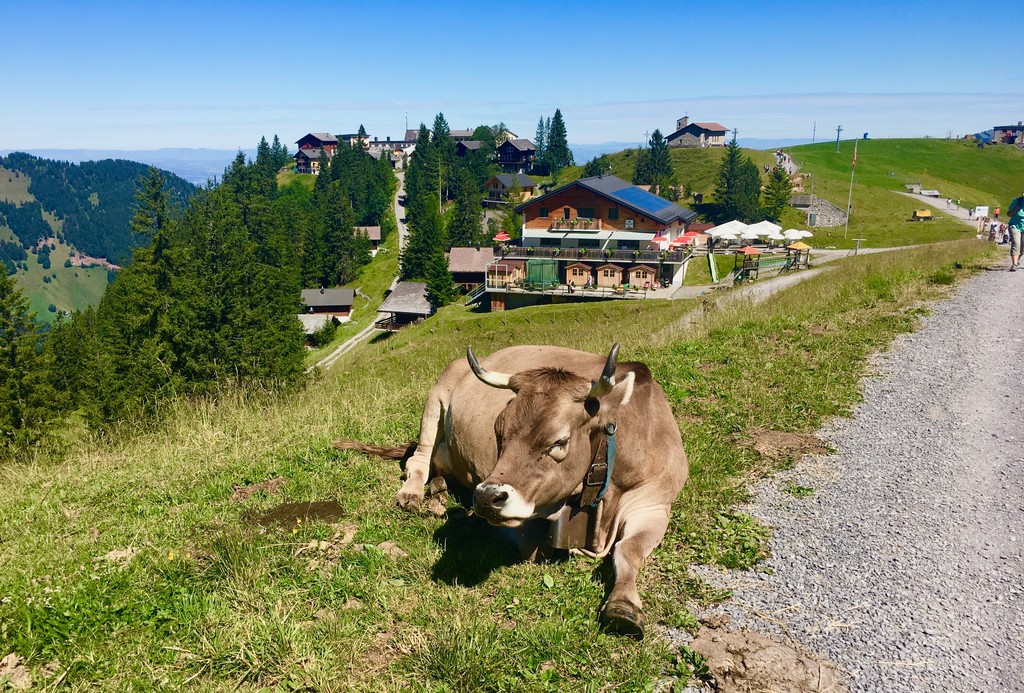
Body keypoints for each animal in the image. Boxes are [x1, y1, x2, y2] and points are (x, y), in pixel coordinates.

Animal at [332, 343, 688, 638]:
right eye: (498, 431)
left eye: (559, 441)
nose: (486, 497)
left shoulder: (654, 506)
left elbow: (628, 551)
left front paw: (623, 607)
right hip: (434, 402)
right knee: (418, 459)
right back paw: (415, 494)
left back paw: (440, 490)